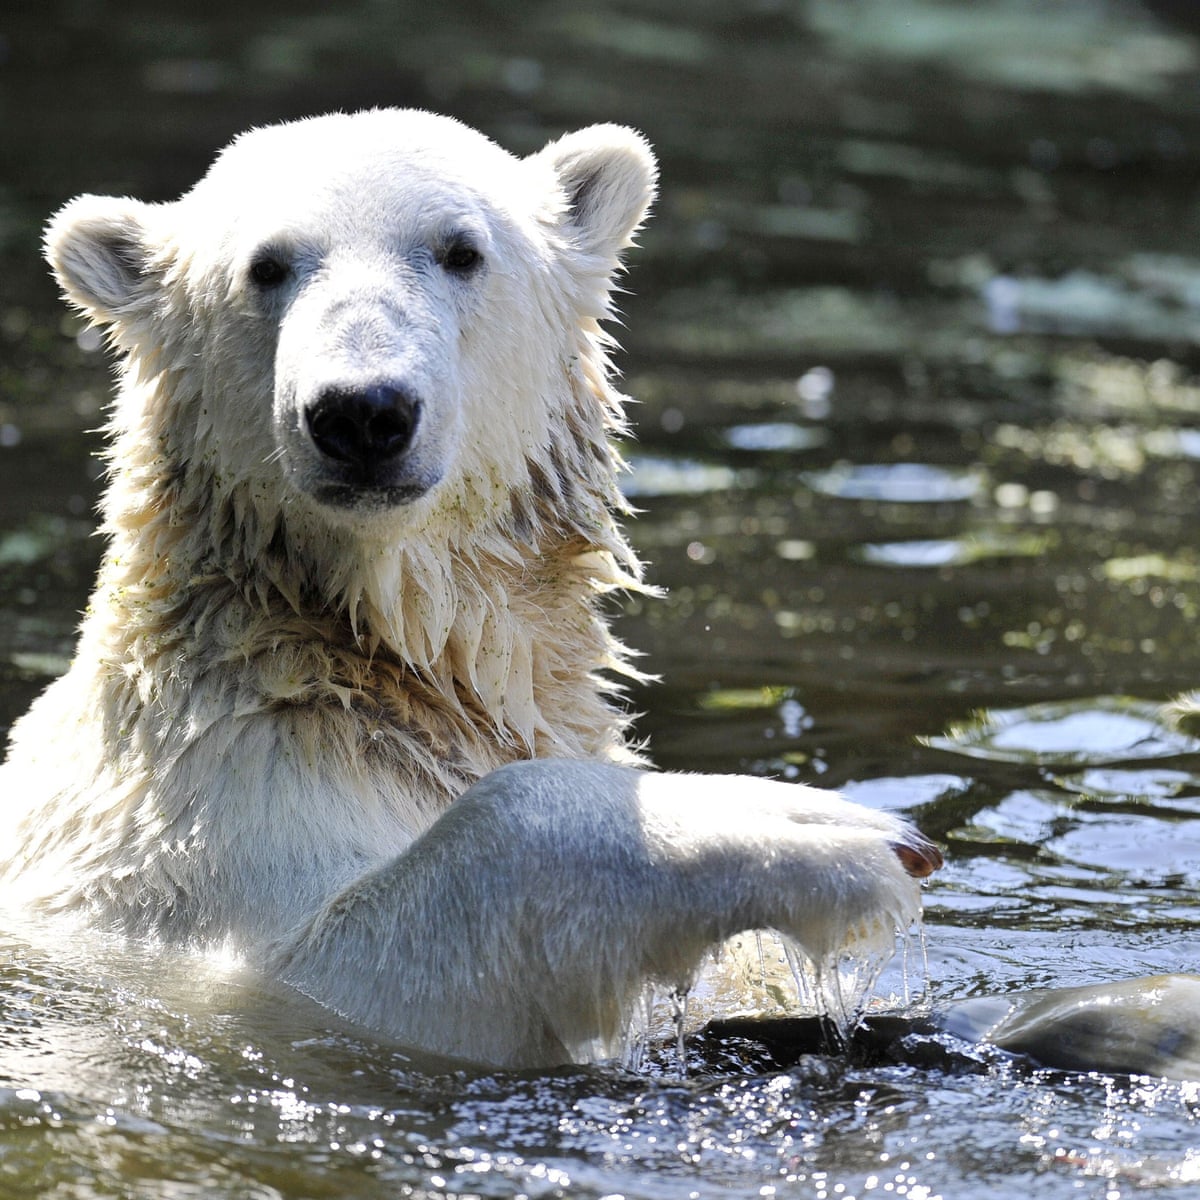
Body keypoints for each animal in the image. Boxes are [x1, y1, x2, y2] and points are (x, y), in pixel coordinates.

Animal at [0, 109, 940, 1067]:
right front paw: (820, 834)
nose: (361, 411)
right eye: (264, 267)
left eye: (460, 251)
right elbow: (363, 960)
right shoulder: (201, 844)